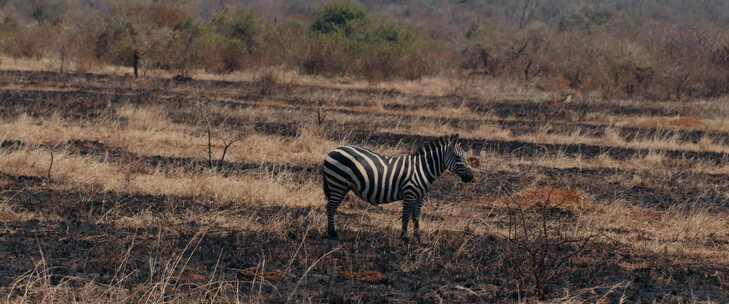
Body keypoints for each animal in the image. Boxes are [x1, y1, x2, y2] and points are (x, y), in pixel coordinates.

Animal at [322, 134, 474, 241]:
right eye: (458, 157)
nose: (471, 177)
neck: (422, 169)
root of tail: (332, 151)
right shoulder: (409, 193)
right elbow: (406, 216)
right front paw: (404, 237)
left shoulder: (419, 196)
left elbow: (416, 217)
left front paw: (418, 238)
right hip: (338, 184)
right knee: (331, 207)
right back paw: (332, 233)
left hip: (338, 184)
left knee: (331, 207)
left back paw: (332, 232)